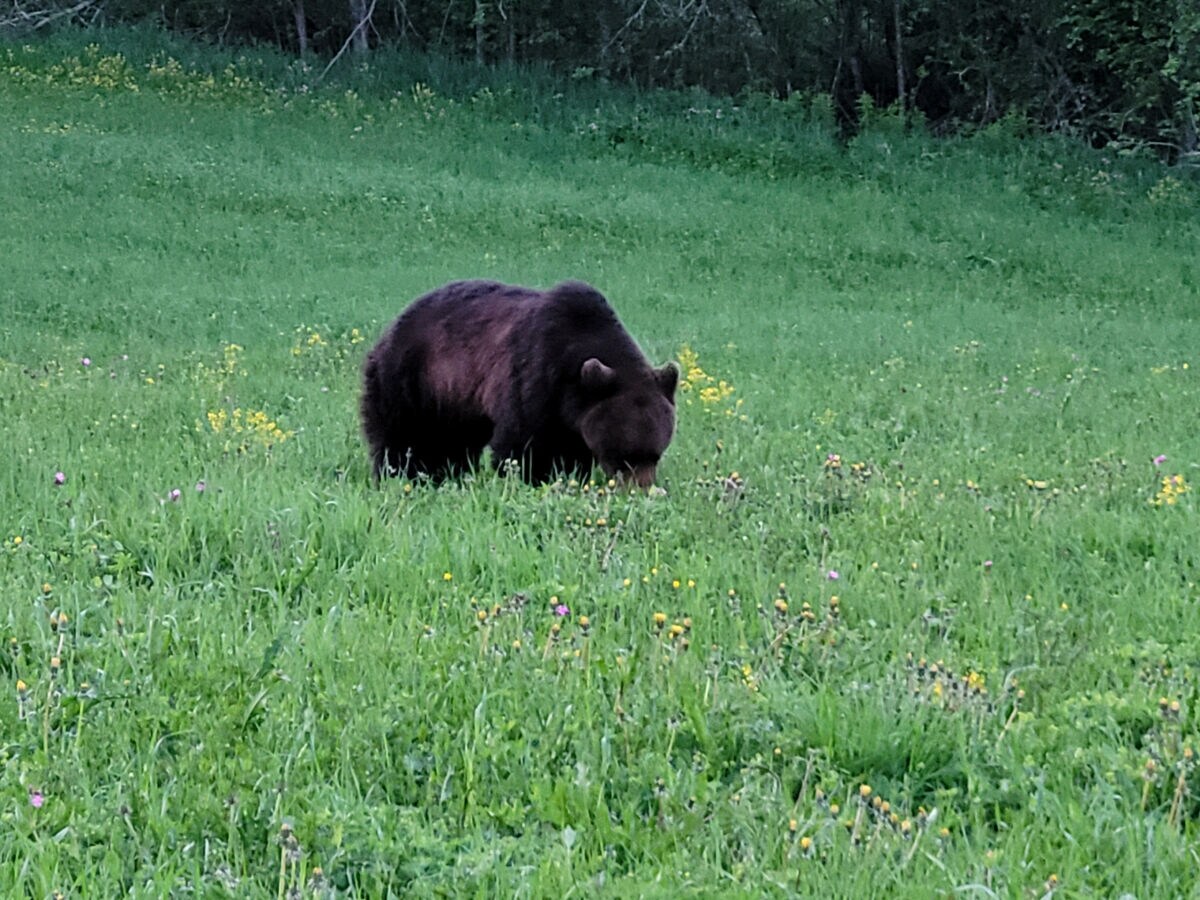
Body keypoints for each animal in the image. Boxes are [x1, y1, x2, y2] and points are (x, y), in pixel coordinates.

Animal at [355, 282, 681, 489]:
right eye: (623, 455)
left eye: (655, 453)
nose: (640, 489)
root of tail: (392, 326)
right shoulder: (535, 373)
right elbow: (525, 443)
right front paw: (535, 478)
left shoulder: (574, 415)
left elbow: (573, 451)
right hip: (413, 378)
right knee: (401, 434)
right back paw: (399, 474)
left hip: (454, 401)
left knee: (452, 441)